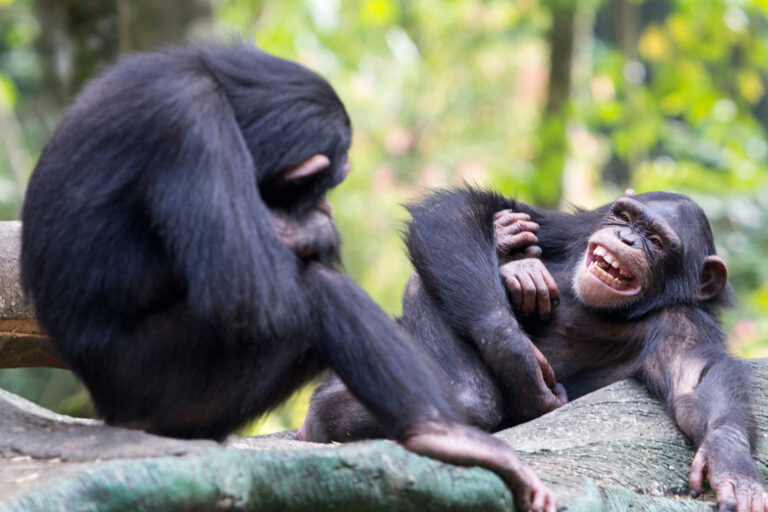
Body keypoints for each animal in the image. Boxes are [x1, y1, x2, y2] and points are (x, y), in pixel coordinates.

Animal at [21, 45, 556, 512]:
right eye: (325, 183)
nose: (324, 204)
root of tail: (111, 412)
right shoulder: (190, 125)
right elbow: (245, 285)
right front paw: (315, 228)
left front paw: (506, 243)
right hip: (164, 385)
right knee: (311, 292)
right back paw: (445, 435)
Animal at [302, 186, 768, 512]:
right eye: (624, 216)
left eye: (654, 238)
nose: (625, 237)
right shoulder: (576, 227)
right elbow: (458, 211)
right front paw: (517, 348)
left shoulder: (683, 327)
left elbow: (698, 381)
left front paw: (729, 456)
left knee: (468, 396)